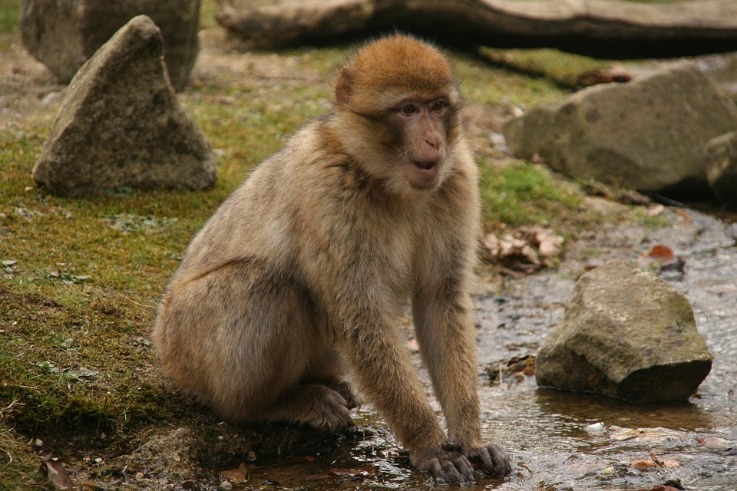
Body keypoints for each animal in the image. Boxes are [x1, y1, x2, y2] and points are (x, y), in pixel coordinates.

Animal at [152, 33, 512, 484]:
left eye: (437, 107)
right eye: (407, 109)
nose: (434, 141)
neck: (386, 182)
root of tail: (162, 342)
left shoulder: (457, 177)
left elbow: (440, 298)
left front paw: (471, 439)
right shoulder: (329, 188)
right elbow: (360, 313)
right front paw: (429, 444)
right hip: (186, 340)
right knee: (266, 285)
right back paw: (270, 404)